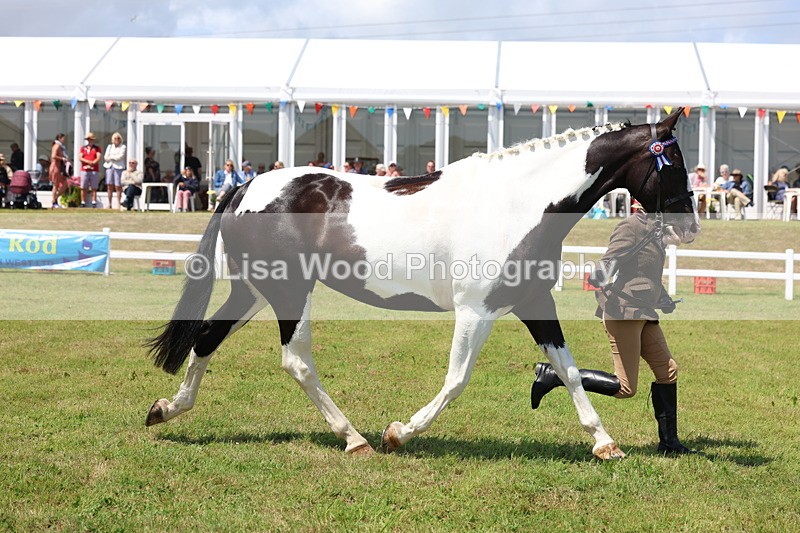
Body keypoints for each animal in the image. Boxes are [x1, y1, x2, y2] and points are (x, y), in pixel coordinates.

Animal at [146, 109, 699, 460]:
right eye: (673, 162)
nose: (690, 225)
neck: (518, 204)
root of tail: (246, 186)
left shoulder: (533, 300)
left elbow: (566, 370)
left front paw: (604, 442)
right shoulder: (476, 311)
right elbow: (457, 380)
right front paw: (399, 433)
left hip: (256, 291)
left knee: (206, 338)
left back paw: (166, 408)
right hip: (289, 294)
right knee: (296, 361)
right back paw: (354, 438)